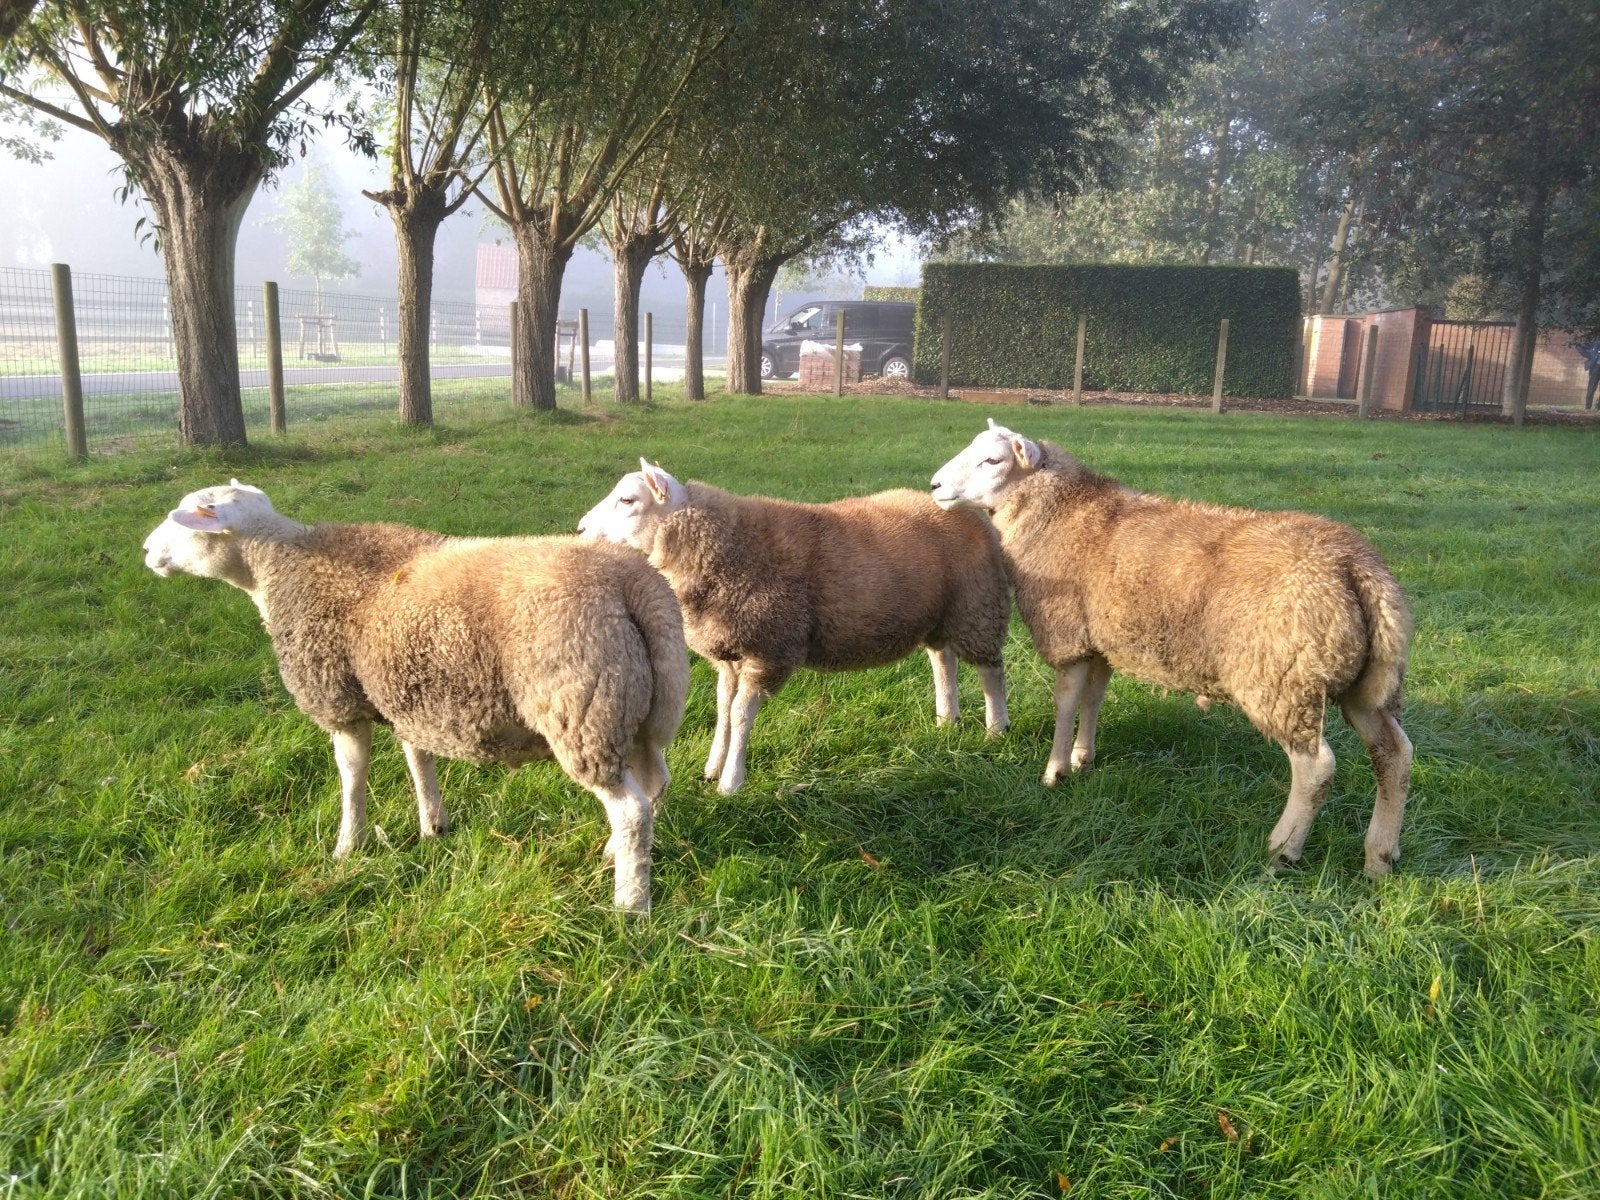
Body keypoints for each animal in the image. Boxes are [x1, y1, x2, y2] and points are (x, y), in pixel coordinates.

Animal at [142, 479, 688, 911]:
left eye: (185, 517)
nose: (146, 551)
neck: (281, 567)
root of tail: (634, 584)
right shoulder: (411, 696)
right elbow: (418, 760)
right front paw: (432, 827)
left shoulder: (341, 701)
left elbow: (352, 774)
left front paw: (348, 845)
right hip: (635, 707)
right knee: (655, 784)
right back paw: (619, 855)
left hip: (583, 710)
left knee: (630, 810)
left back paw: (630, 905)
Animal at [577, 459, 1010, 794]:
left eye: (628, 500)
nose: (579, 529)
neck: (723, 546)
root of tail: (960, 509)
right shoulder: (731, 655)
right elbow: (723, 709)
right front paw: (713, 767)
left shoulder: (769, 650)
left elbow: (740, 714)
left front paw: (731, 783)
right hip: (941, 614)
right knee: (943, 661)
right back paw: (946, 721)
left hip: (978, 606)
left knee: (990, 670)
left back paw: (996, 729)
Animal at [929, 421, 1414, 878]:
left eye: (993, 460)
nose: (933, 486)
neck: (1065, 512)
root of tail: (1354, 566)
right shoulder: (1101, 639)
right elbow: (1093, 699)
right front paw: (1084, 758)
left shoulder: (1067, 634)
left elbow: (1065, 703)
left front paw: (1055, 770)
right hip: (1366, 685)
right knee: (1394, 754)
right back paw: (1379, 859)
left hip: (1283, 679)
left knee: (1316, 768)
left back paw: (1282, 850)